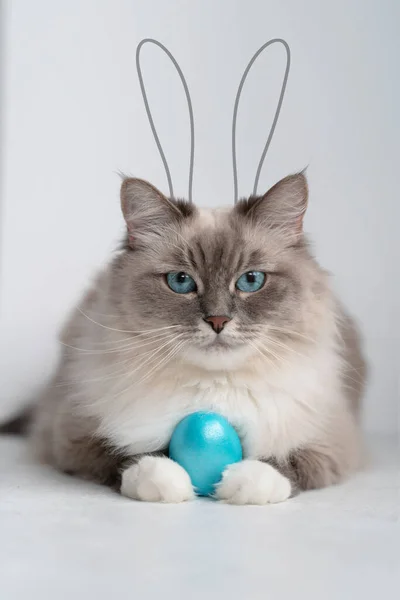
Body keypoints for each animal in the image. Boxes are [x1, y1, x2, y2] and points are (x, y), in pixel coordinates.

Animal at [2, 171, 366, 504]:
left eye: (250, 280)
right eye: (180, 281)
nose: (218, 320)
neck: (213, 393)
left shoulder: (331, 443)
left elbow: (284, 463)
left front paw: (242, 484)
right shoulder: (75, 436)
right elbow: (123, 458)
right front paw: (166, 482)